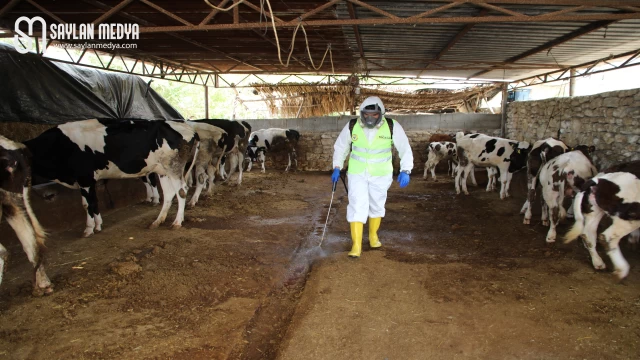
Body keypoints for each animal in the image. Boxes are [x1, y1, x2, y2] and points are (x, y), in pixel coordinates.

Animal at [23, 118, 198, 236]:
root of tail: (189, 129)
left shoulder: (84, 178)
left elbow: (87, 204)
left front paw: (89, 229)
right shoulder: (89, 180)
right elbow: (93, 202)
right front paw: (97, 225)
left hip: (174, 167)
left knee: (182, 191)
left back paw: (177, 222)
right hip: (163, 169)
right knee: (169, 193)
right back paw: (158, 221)